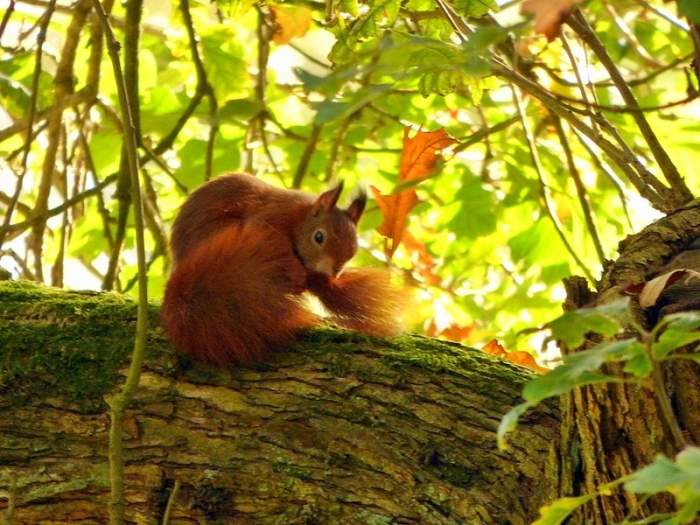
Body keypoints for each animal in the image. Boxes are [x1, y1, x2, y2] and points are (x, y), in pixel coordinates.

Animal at [161, 173, 407, 366]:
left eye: (353, 250)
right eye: (319, 237)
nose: (331, 274)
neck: (299, 216)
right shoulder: (268, 219)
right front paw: (296, 271)